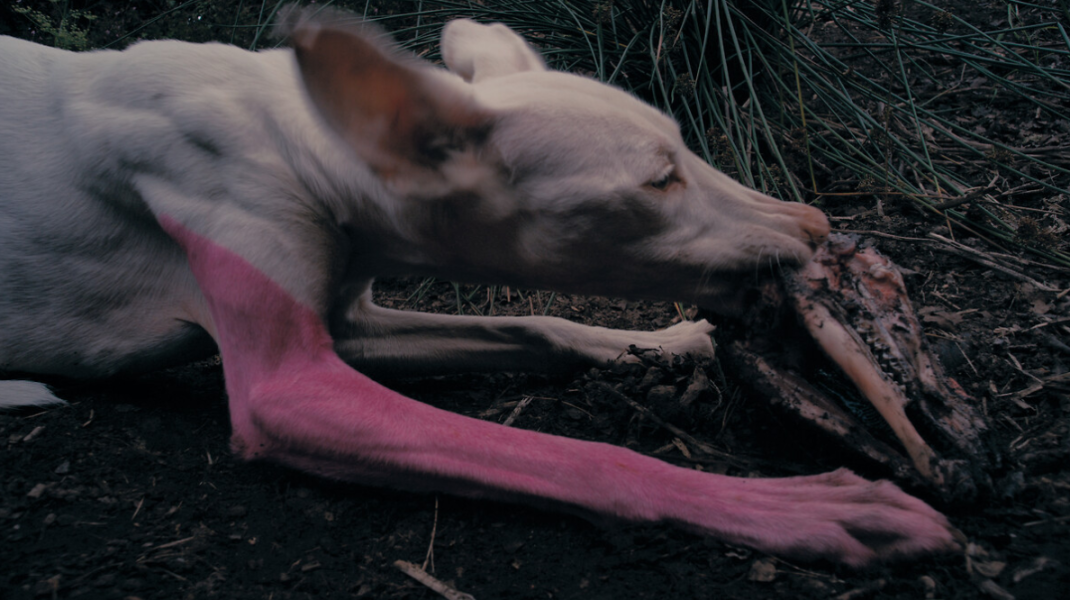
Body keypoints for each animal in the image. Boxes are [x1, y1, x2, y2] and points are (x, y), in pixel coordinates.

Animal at [0, 6, 957, 566]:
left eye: (685, 148)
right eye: (657, 182)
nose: (815, 227)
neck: (298, 133)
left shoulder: (351, 324)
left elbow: (540, 328)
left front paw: (668, 341)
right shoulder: (289, 387)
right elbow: (585, 458)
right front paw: (806, 512)